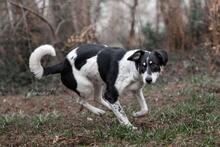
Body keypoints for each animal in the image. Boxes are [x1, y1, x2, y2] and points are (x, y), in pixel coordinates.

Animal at [28, 43, 167, 129]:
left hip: (97, 82)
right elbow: (122, 114)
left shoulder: (136, 90)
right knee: (81, 101)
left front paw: (137, 114)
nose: (148, 80)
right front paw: (129, 127)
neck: (132, 66)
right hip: (86, 87)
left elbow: (145, 108)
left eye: (154, 65)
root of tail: (63, 64)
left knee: (98, 98)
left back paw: (107, 109)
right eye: (143, 65)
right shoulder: (111, 93)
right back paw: (99, 111)